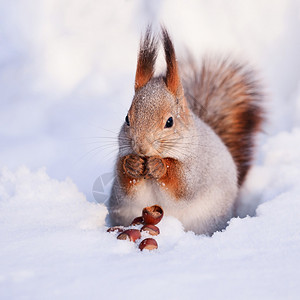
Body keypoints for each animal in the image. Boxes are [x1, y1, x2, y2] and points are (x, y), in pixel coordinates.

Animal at [106, 27, 264, 236]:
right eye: (127, 119)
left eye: (170, 122)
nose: (141, 147)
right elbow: (125, 186)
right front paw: (131, 164)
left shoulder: (197, 167)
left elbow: (182, 186)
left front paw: (160, 166)